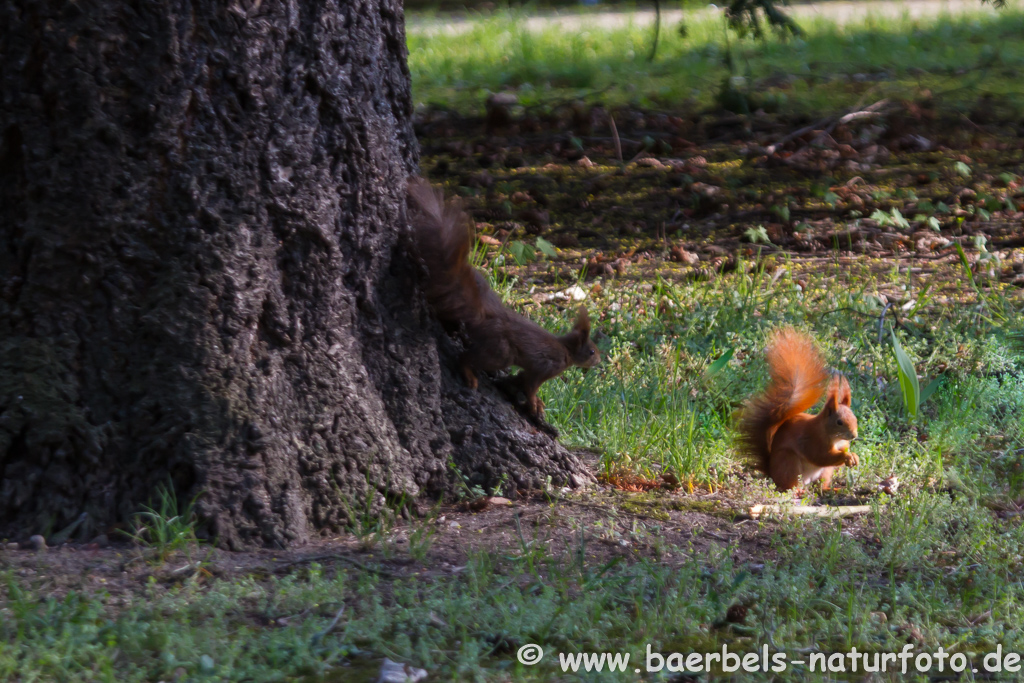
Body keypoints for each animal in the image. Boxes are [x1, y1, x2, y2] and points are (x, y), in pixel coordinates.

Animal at [405, 176, 598, 417]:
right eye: (591, 351)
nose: (599, 361)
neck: (566, 350)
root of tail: (484, 316)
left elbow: (521, 379)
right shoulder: (545, 366)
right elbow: (531, 385)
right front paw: (534, 402)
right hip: (501, 350)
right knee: (465, 357)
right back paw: (470, 374)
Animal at [741, 327, 860, 491]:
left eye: (855, 419)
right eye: (839, 422)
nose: (854, 435)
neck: (834, 437)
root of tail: (771, 472)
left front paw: (854, 457)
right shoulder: (813, 441)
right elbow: (821, 456)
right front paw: (846, 456)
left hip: (825, 472)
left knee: (821, 484)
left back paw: (829, 489)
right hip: (788, 462)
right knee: (789, 485)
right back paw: (797, 491)